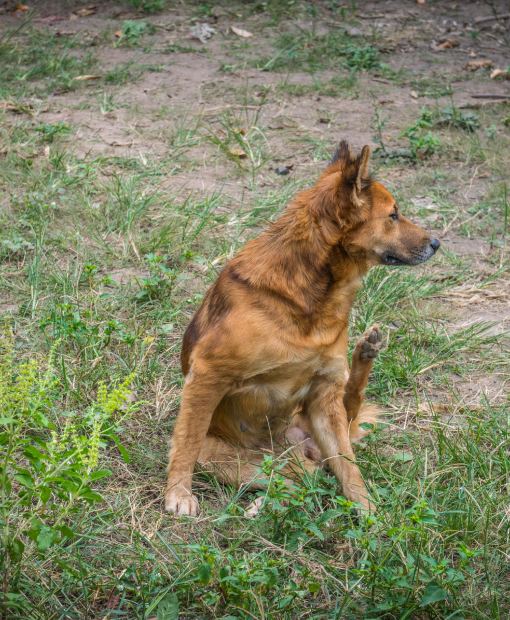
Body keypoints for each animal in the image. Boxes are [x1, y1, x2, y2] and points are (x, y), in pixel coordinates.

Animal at [165, 143, 440, 516]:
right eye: (393, 215)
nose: (437, 243)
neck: (314, 298)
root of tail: (299, 449)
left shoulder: (324, 394)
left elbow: (350, 468)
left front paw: (369, 512)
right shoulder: (208, 373)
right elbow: (187, 441)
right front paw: (178, 493)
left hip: (320, 417)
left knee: (343, 423)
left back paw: (366, 351)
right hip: (230, 457)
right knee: (297, 480)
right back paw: (263, 504)